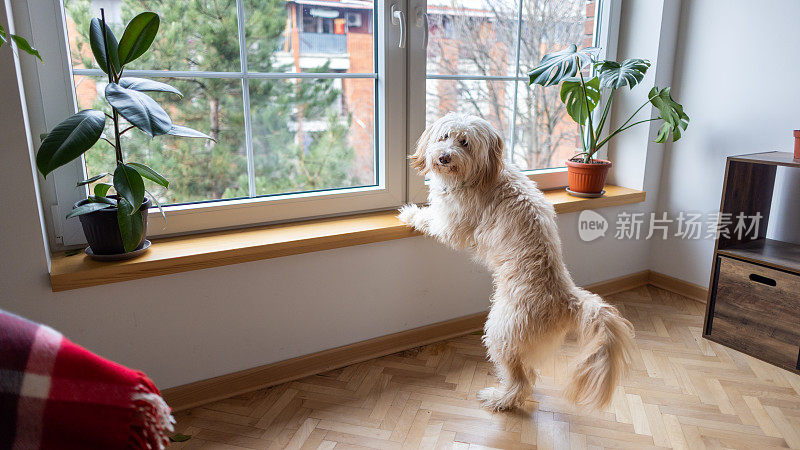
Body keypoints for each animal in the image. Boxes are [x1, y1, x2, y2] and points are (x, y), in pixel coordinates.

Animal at [396, 113, 636, 412]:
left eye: (465, 142)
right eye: (445, 136)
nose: (443, 157)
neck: (481, 175)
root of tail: (566, 299)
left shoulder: (451, 224)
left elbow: (431, 220)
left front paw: (410, 213)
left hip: (502, 331)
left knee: (520, 381)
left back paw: (500, 399)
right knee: (528, 374)